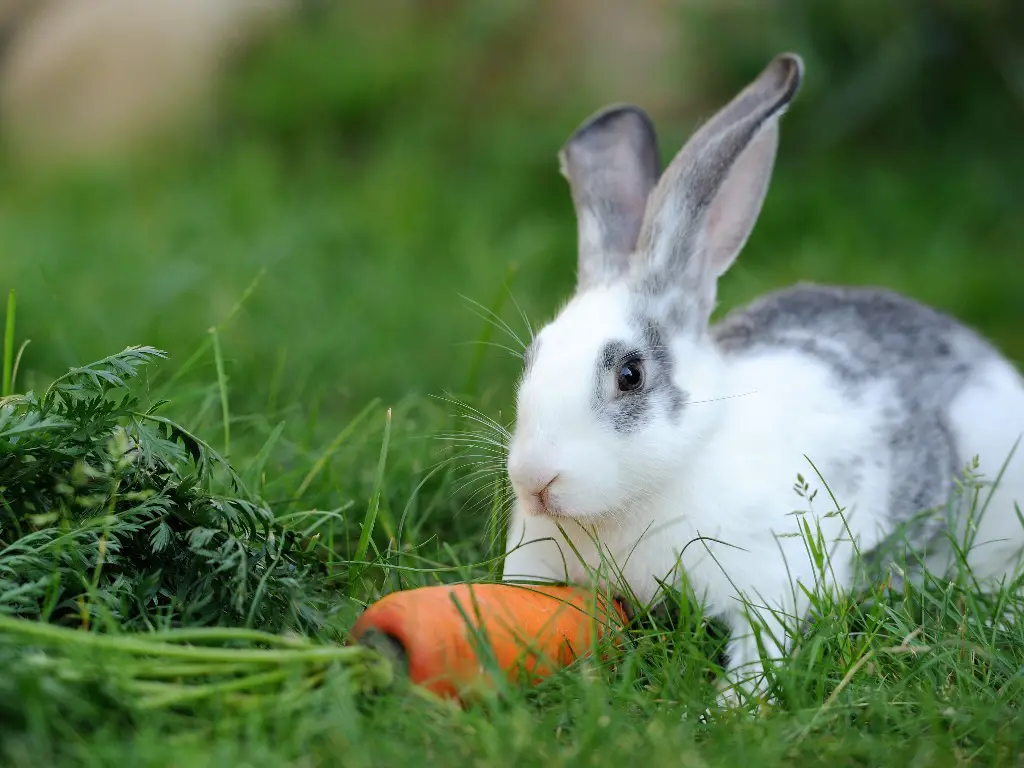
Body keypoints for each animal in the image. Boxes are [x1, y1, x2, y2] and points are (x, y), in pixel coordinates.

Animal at [499, 51, 1024, 708]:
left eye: (630, 374)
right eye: (532, 356)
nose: (534, 482)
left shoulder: (770, 581)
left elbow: (760, 650)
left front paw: (726, 711)